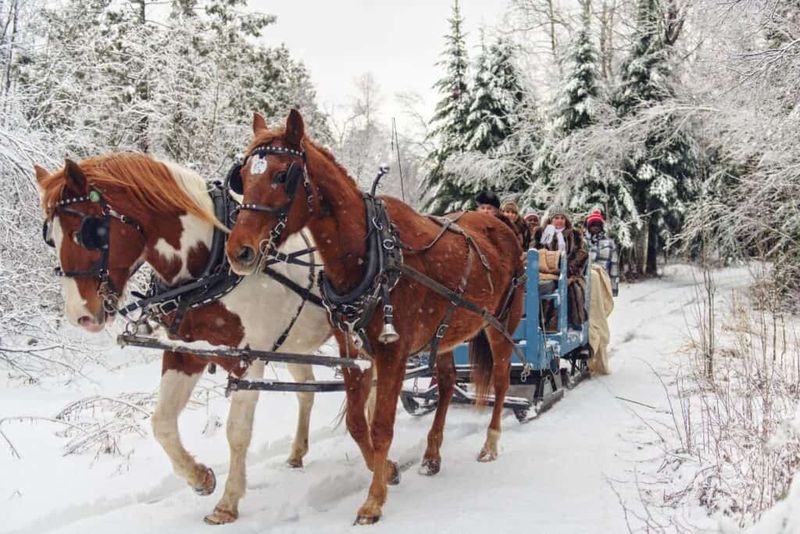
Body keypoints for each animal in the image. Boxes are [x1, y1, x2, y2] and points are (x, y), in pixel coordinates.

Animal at [35, 153, 331, 525]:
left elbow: (237, 431)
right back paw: (297, 452)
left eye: (87, 232)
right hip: (294, 346)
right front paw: (199, 477)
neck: (211, 264)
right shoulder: (185, 353)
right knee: (308, 389)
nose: (80, 315)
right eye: (51, 237)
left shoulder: (247, 360)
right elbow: (161, 422)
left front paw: (227, 502)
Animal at [225, 110, 525, 524]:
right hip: (446, 333)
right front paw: (389, 471)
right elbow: (357, 423)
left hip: (502, 322)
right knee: (448, 384)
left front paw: (374, 499)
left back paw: (491, 443)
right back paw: (432, 455)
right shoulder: (354, 353)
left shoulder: (393, 353)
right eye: (242, 177)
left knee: (499, 380)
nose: (238, 251)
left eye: (282, 175)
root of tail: (501, 221)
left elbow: (381, 426)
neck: (369, 256)